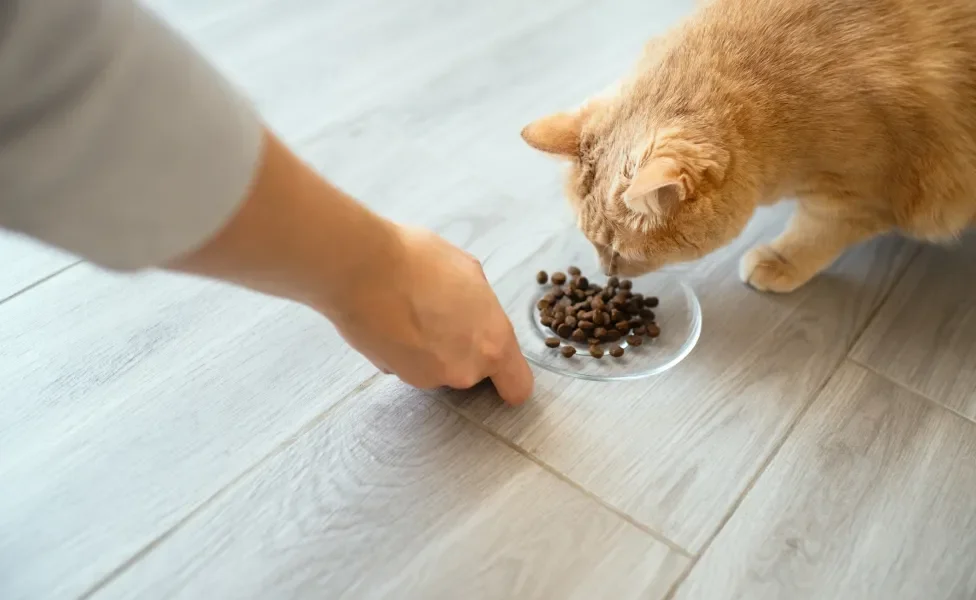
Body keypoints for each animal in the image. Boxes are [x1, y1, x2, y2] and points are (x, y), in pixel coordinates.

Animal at [524, 0, 976, 292]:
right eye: (594, 247)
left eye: (615, 251)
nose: (606, 273)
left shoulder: (862, 194)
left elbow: (814, 233)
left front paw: (781, 261)